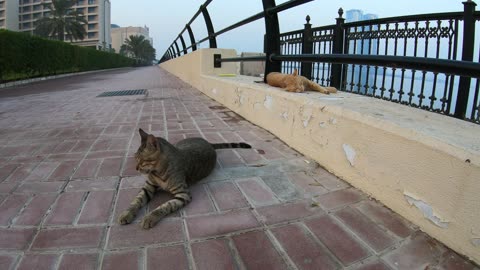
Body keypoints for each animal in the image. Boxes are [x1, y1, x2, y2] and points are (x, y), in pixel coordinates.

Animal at [118, 128, 251, 228]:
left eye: (142, 160)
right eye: (135, 158)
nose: (136, 168)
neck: (158, 172)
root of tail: (208, 142)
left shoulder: (183, 194)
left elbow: (165, 206)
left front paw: (150, 217)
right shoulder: (148, 187)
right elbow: (136, 201)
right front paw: (126, 213)